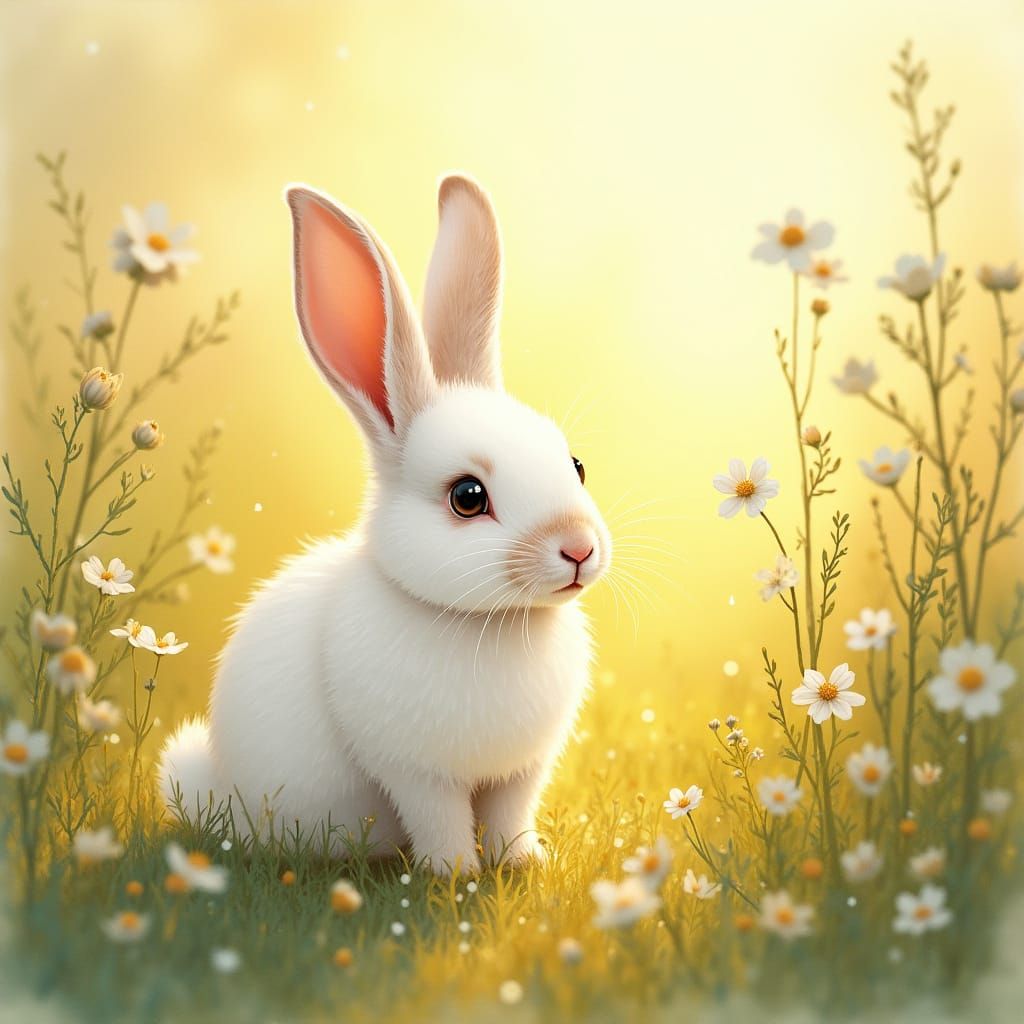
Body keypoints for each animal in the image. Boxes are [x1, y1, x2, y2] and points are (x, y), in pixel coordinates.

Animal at [158, 175, 611, 875]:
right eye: (468, 497)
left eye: (577, 464)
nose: (579, 549)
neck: (487, 622)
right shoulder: (417, 773)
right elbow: (440, 821)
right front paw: (454, 876)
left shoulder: (522, 771)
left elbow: (510, 817)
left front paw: (523, 865)